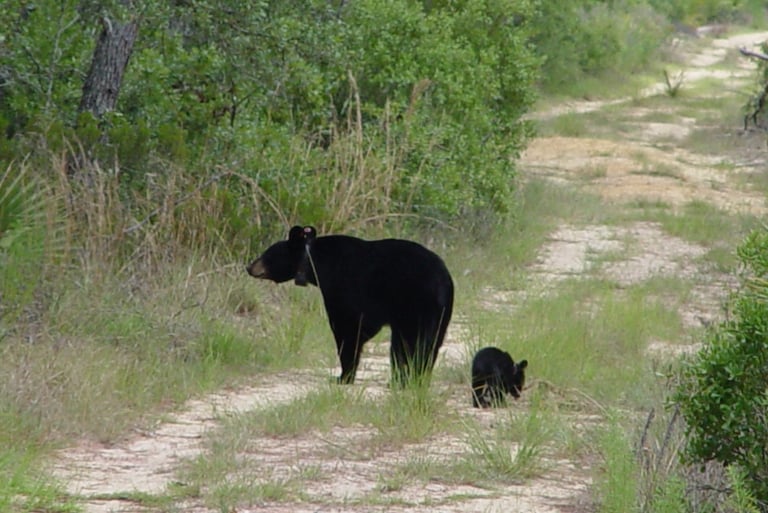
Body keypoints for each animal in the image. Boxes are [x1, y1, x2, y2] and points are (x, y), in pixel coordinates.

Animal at [246, 225, 454, 386]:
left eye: (267, 254)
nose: (249, 267)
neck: (316, 263)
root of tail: (443, 282)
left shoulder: (342, 289)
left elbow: (347, 329)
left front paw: (342, 377)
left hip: (413, 306)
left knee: (408, 344)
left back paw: (403, 380)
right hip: (441, 315)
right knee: (429, 345)